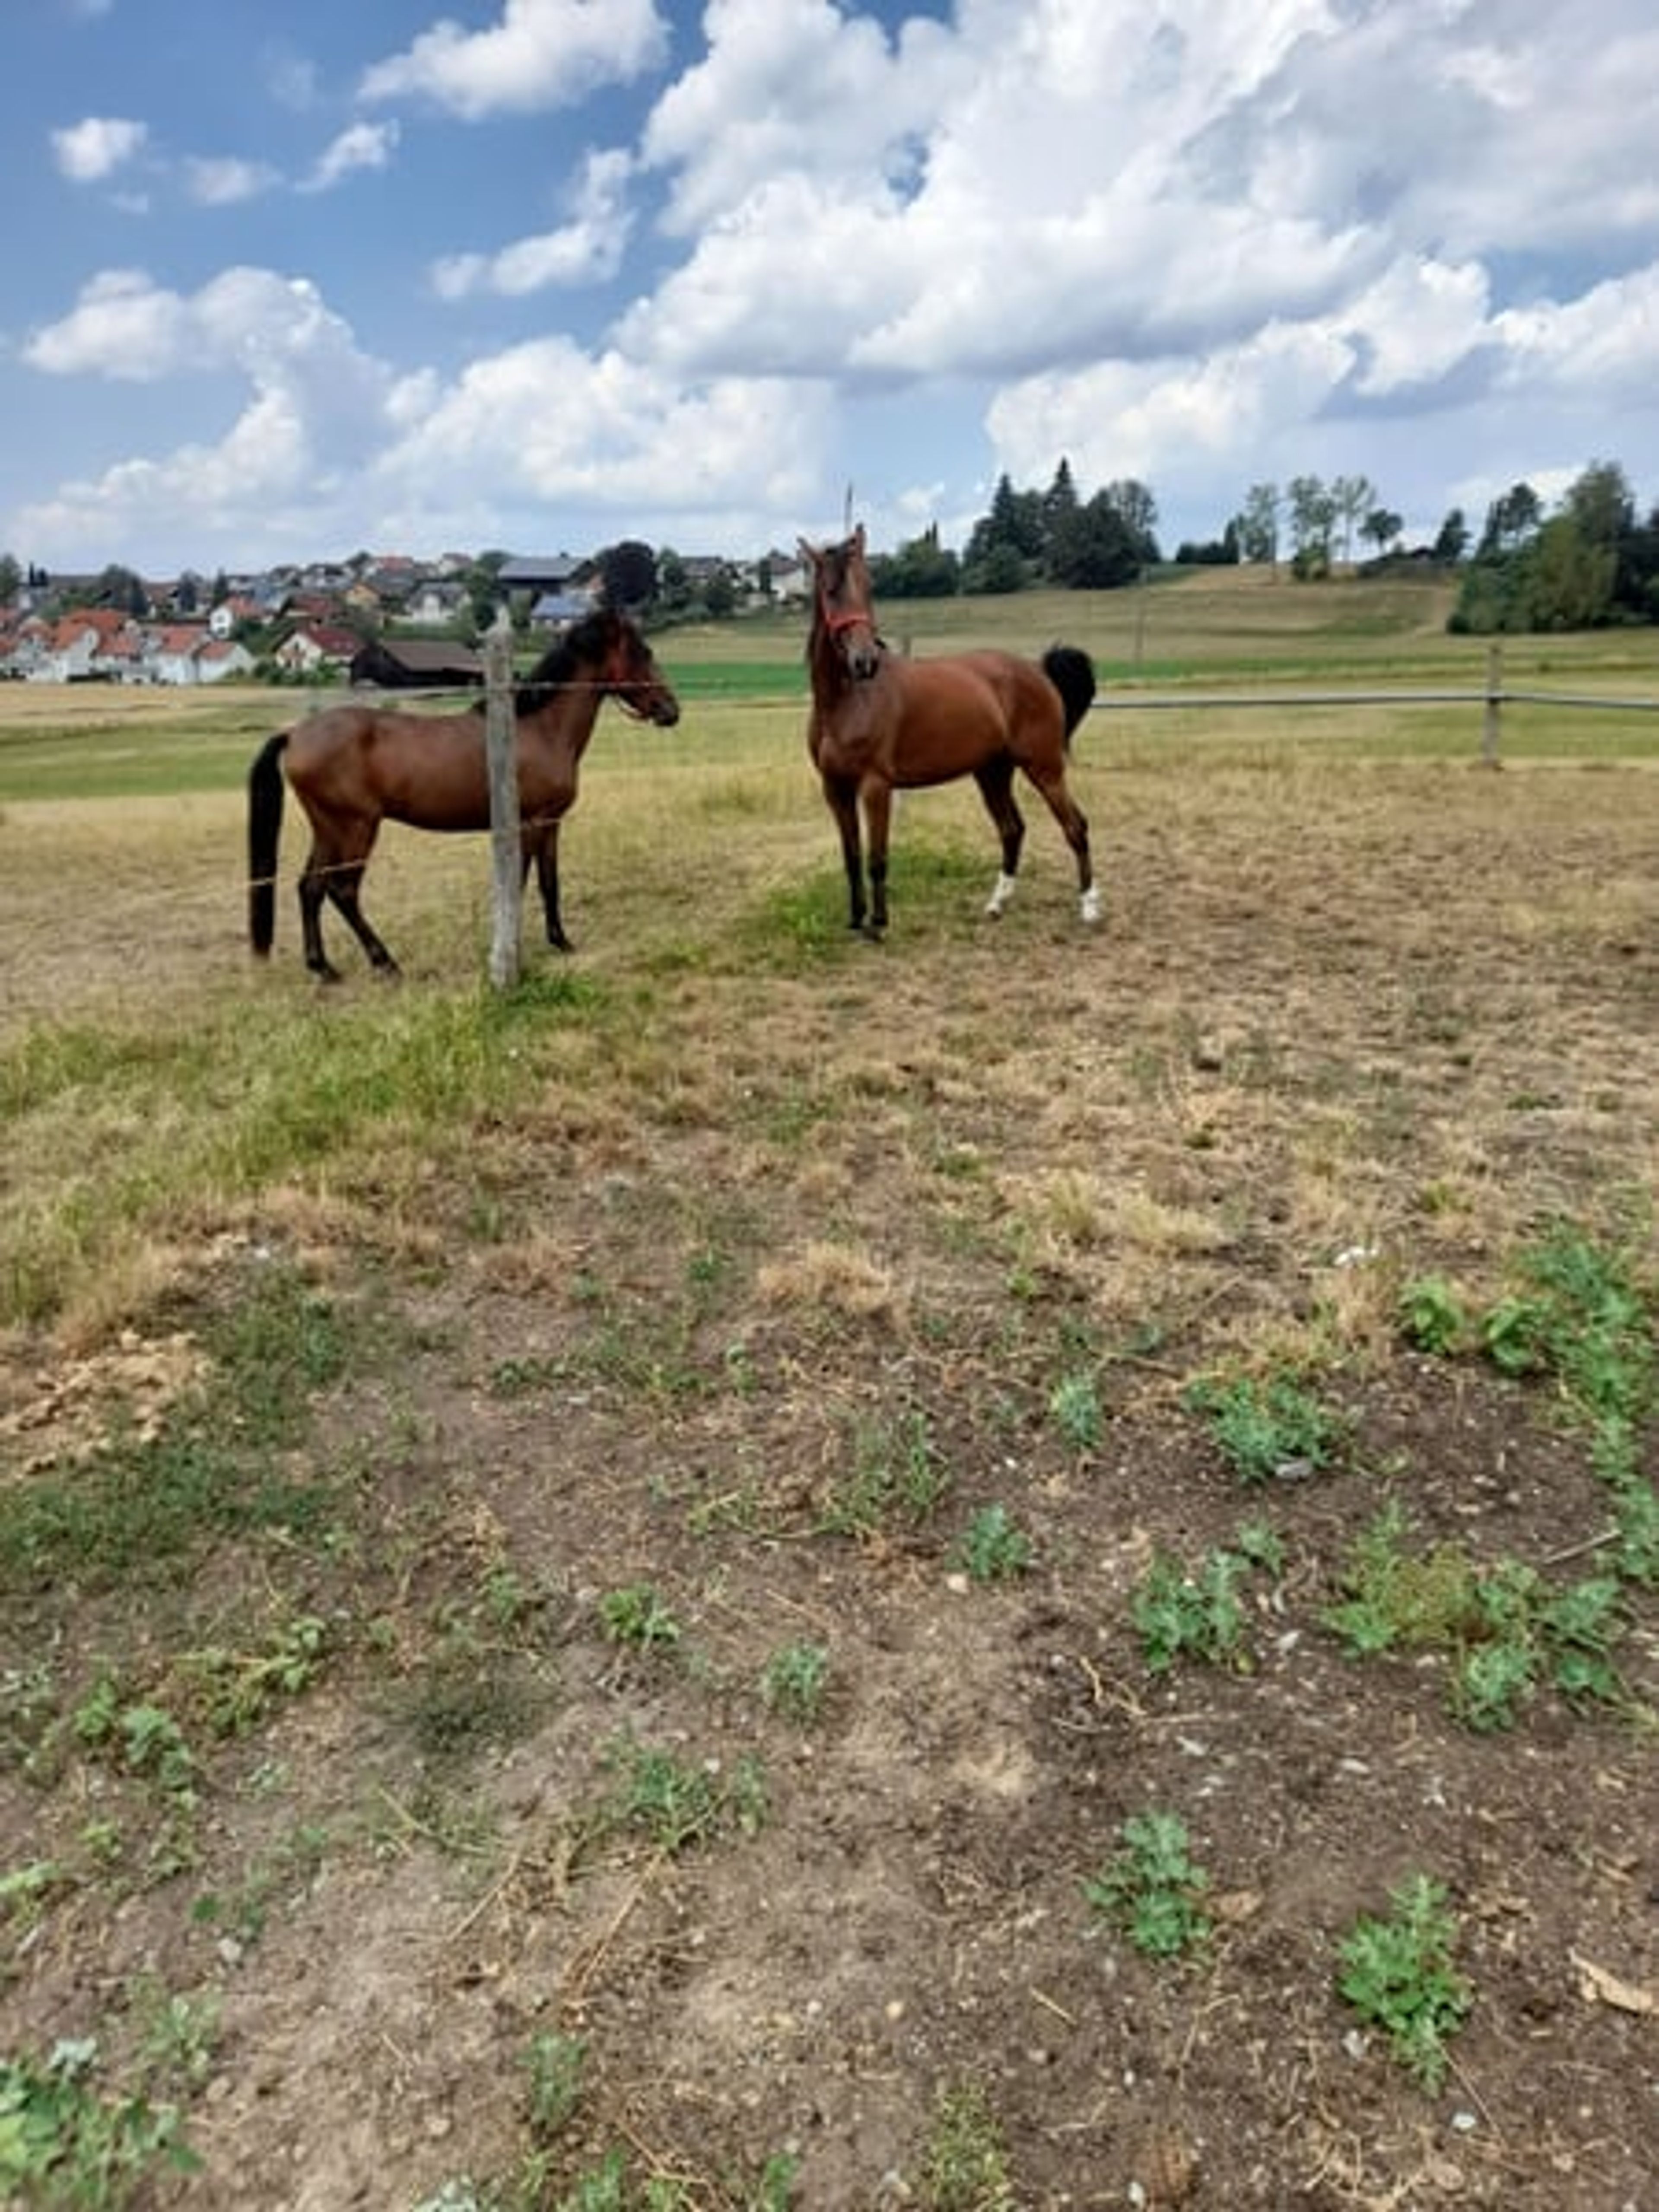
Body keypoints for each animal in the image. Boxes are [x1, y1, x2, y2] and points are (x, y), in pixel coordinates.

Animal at [247, 607, 680, 980]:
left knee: (311, 888)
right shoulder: (531, 823)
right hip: (355, 829)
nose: (671, 711)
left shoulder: (550, 824)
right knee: (343, 891)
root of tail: (295, 735)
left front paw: (561, 942)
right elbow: (520, 884)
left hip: (328, 831)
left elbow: (549, 882)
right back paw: (385, 962)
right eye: (641, 653)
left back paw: (323, 967)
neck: (539, 727)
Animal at [799, 525, 1099, 938]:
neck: (846, 702)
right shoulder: (835, 789)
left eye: (869, 586)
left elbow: (877, 857)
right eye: (830, 591)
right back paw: (997, 904)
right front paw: (856, 919)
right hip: (992, 773)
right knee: (1012, 829)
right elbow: (851, 855)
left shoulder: (876, 787)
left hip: (1045, 769)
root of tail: (1037, 671)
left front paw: (878, 924)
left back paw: (1089, 907)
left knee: (1075, 826)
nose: (865, 662)